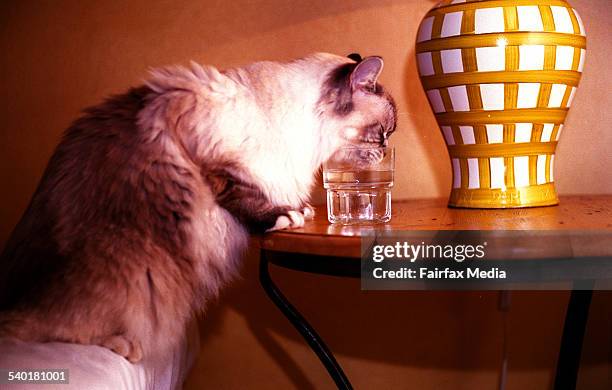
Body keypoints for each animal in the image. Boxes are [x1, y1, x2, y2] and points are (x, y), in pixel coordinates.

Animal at [0, 51, 396, 362]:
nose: (385, 149)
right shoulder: (213, 160)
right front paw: (286, 215)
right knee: (44, 329)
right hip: (131, 269)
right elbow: (247, 195)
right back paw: (123, 346)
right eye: (382, 132)